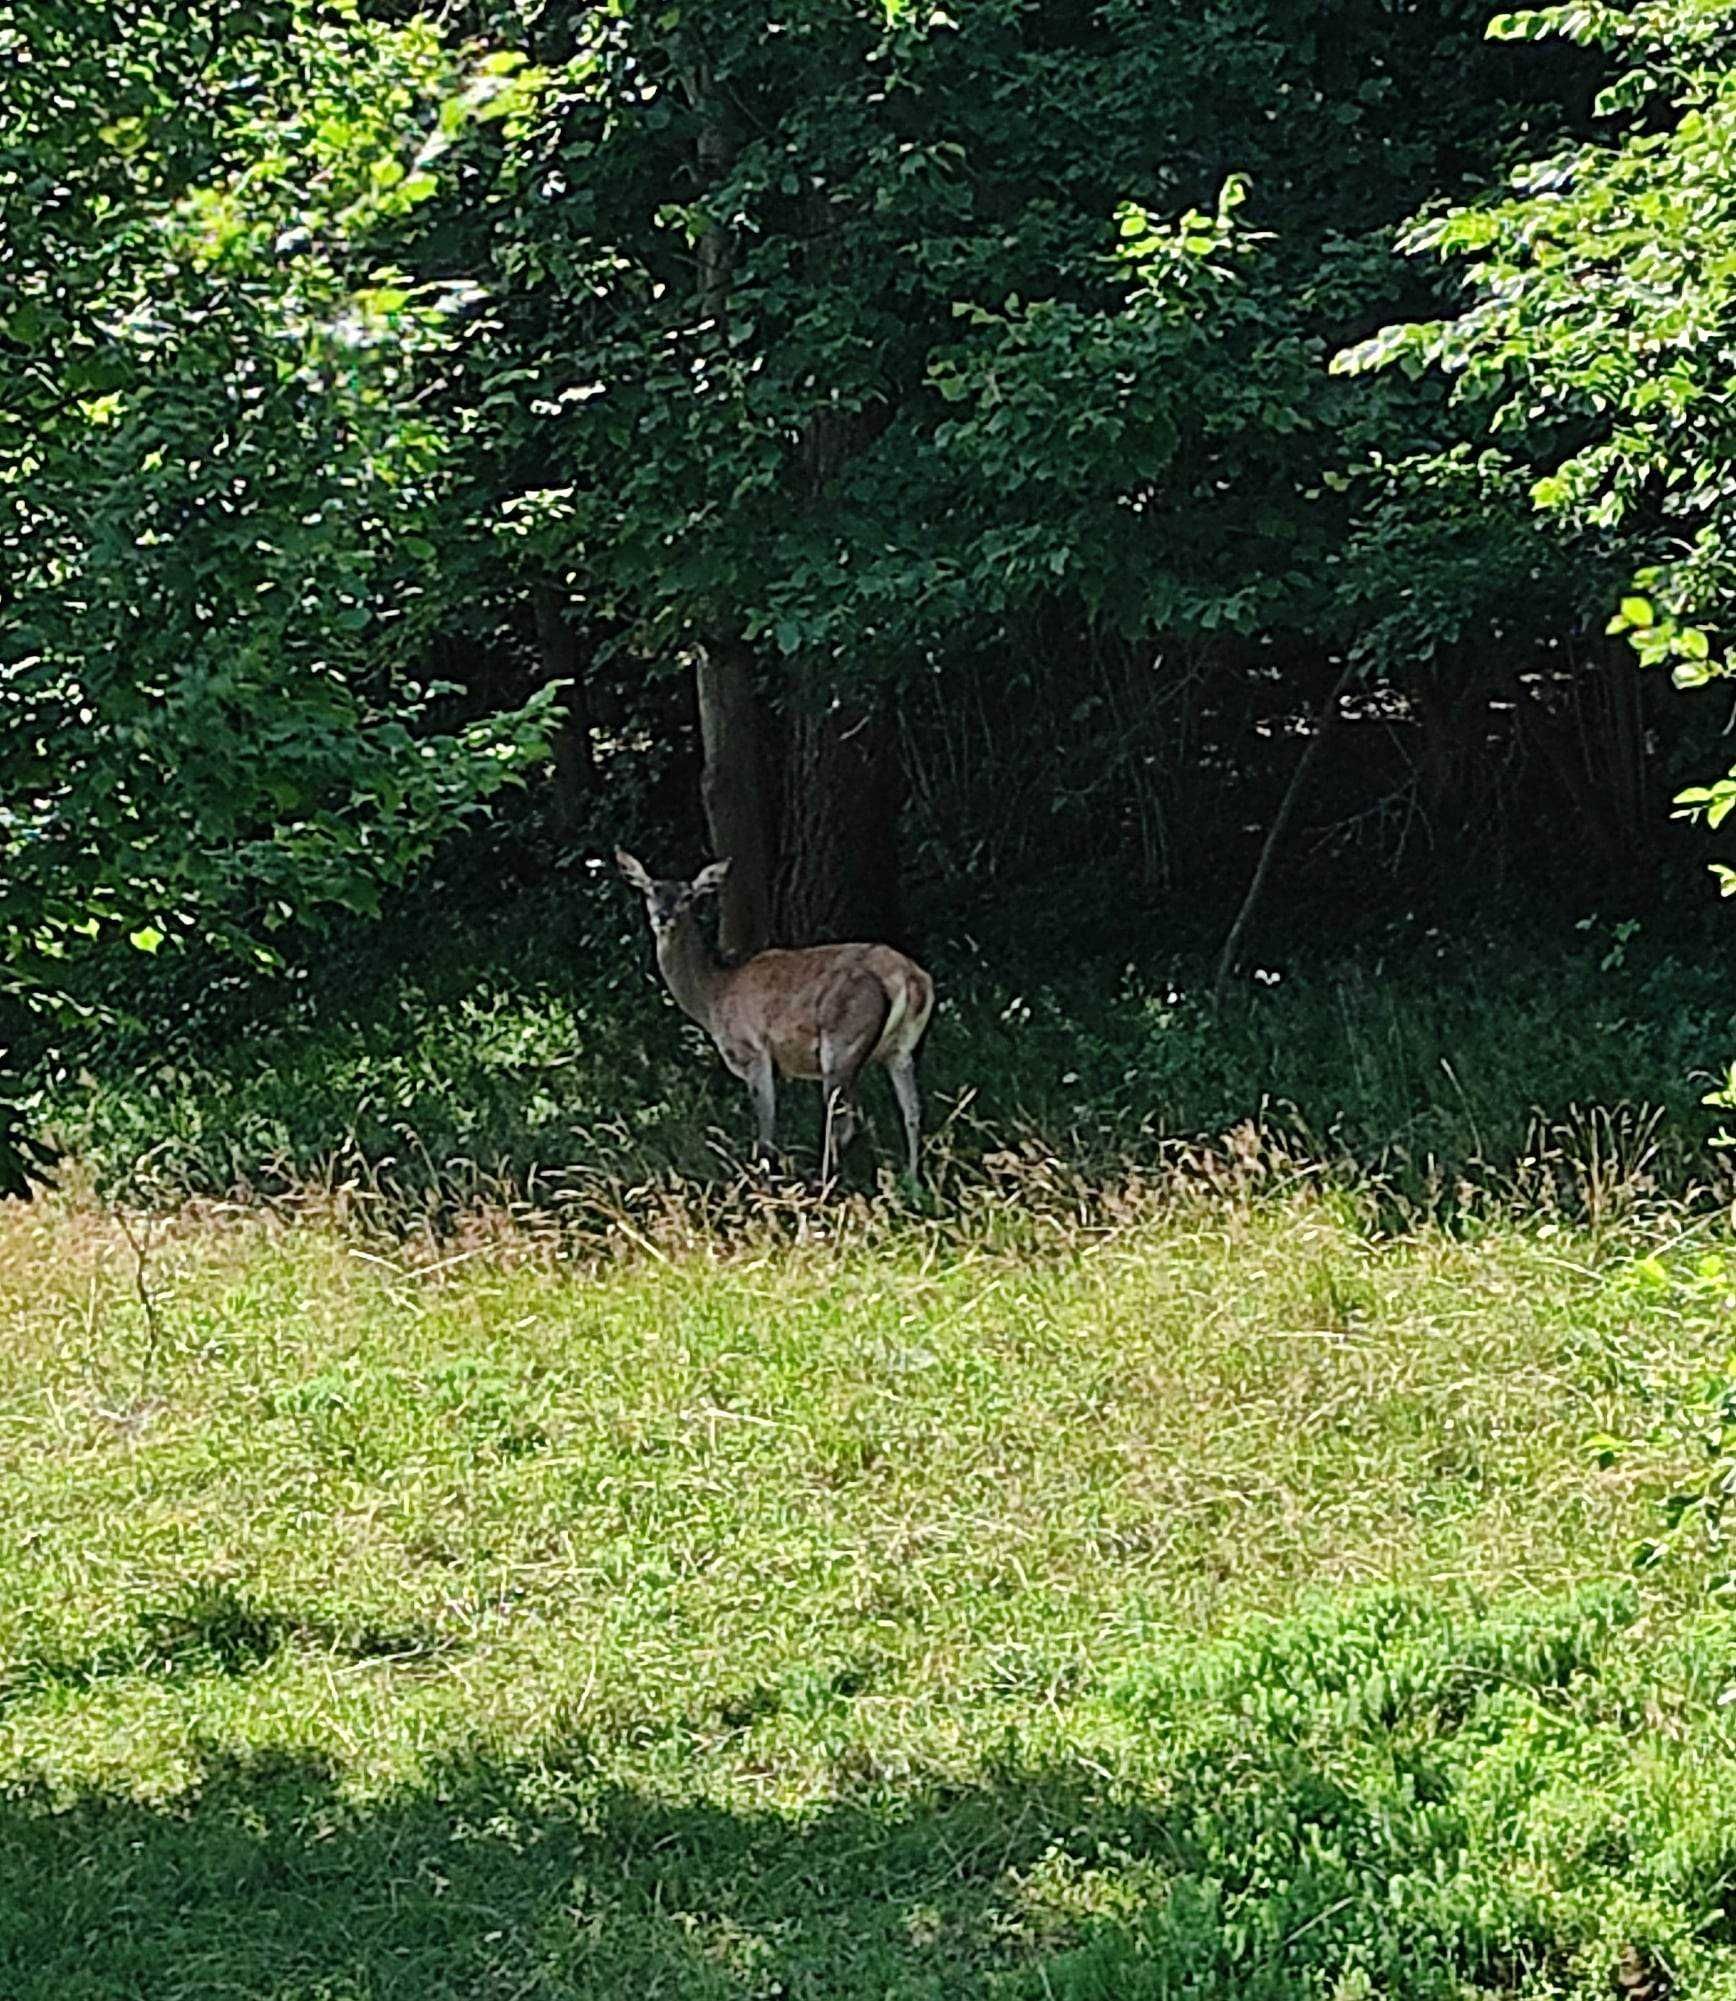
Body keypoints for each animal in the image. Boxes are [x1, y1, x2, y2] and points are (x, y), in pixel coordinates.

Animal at [612, 848, 936, 1184]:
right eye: (650, 891)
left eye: (688, 896)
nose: (663, 916)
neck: (714, 997)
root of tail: (909, 978)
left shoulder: (753, 1052)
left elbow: (766, 1135)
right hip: (901, 1050)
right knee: (912, 1112)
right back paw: (912, 1179)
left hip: (842, 1041)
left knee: (843, 1122)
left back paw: (823, 1182)